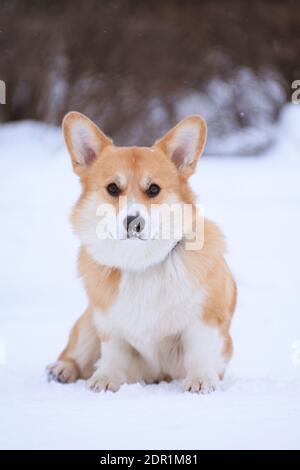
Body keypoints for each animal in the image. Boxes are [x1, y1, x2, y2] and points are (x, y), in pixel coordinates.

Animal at [47, 112, 237, 394]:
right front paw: (106, 379)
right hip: (88, 322)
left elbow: (200, 353)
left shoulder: (205, 319)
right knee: (75, 354)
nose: (133, 222)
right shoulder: (108, 323)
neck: (140, 263)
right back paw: (61, 369)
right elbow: (113, 354)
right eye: (113, 188)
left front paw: (201, 380)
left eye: (154, 189)